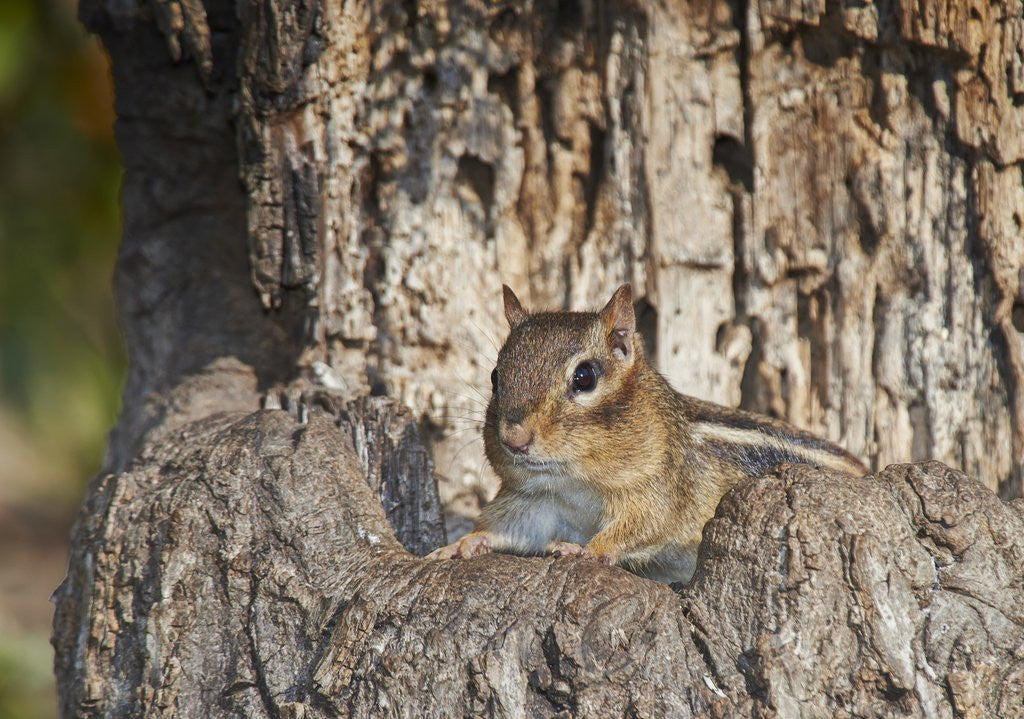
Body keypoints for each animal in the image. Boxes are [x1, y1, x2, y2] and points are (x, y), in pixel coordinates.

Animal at [428, 284, 869, 583]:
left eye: (585, 377)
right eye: (495, 376)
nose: (515, 440)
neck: (574, 483)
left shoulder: (659, 489)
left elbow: (643, 524)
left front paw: (585, 550)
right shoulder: (533, 502)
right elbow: (509, 527)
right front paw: (463, 543)